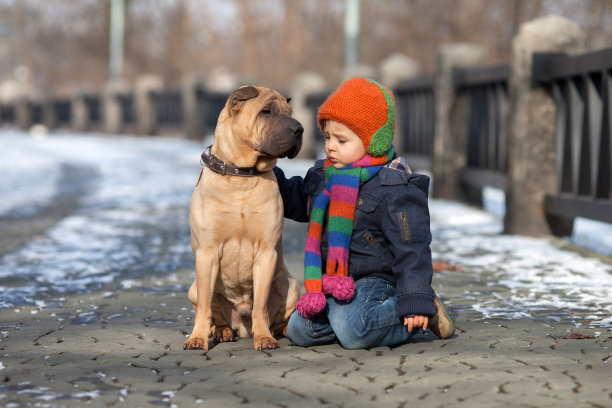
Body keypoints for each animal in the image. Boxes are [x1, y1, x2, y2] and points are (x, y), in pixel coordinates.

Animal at [184, 85, 304, 350]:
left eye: (290, 112)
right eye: (266, 111)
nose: (299, 128)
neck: (241, 177)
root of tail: (241, 324)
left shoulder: (266, 252)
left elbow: (260, 305)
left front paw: (264, 338)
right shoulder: (207, 252)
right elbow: (205, 308)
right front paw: (197, 338)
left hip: (290, 285)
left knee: (279, 316)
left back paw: (283, 330)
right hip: (194, 288)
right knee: (214, 313)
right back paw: (222, 331)